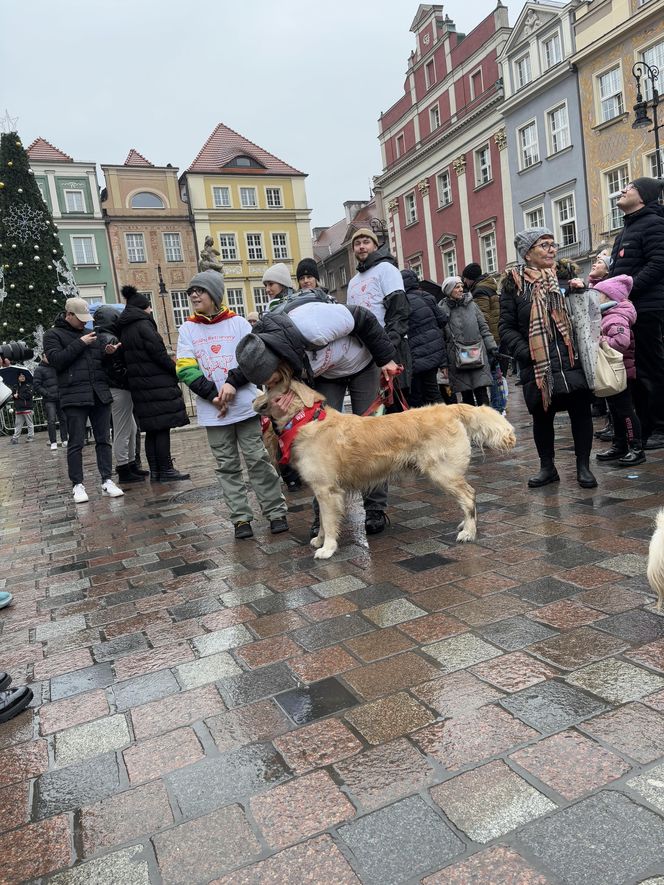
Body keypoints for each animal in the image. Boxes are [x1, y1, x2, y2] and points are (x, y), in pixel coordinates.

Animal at [252, 366, 516, 560]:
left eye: (267, 388)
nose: (252, 404)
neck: (305, 419)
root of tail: (450, 408)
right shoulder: (321, 489)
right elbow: (324, 520)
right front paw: (319, 539)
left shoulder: (327, 490)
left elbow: (328, 520)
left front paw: (327, 548)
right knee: (466, 498)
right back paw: (465, 524)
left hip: (442, 472)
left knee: (469, 496)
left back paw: (469, 532)